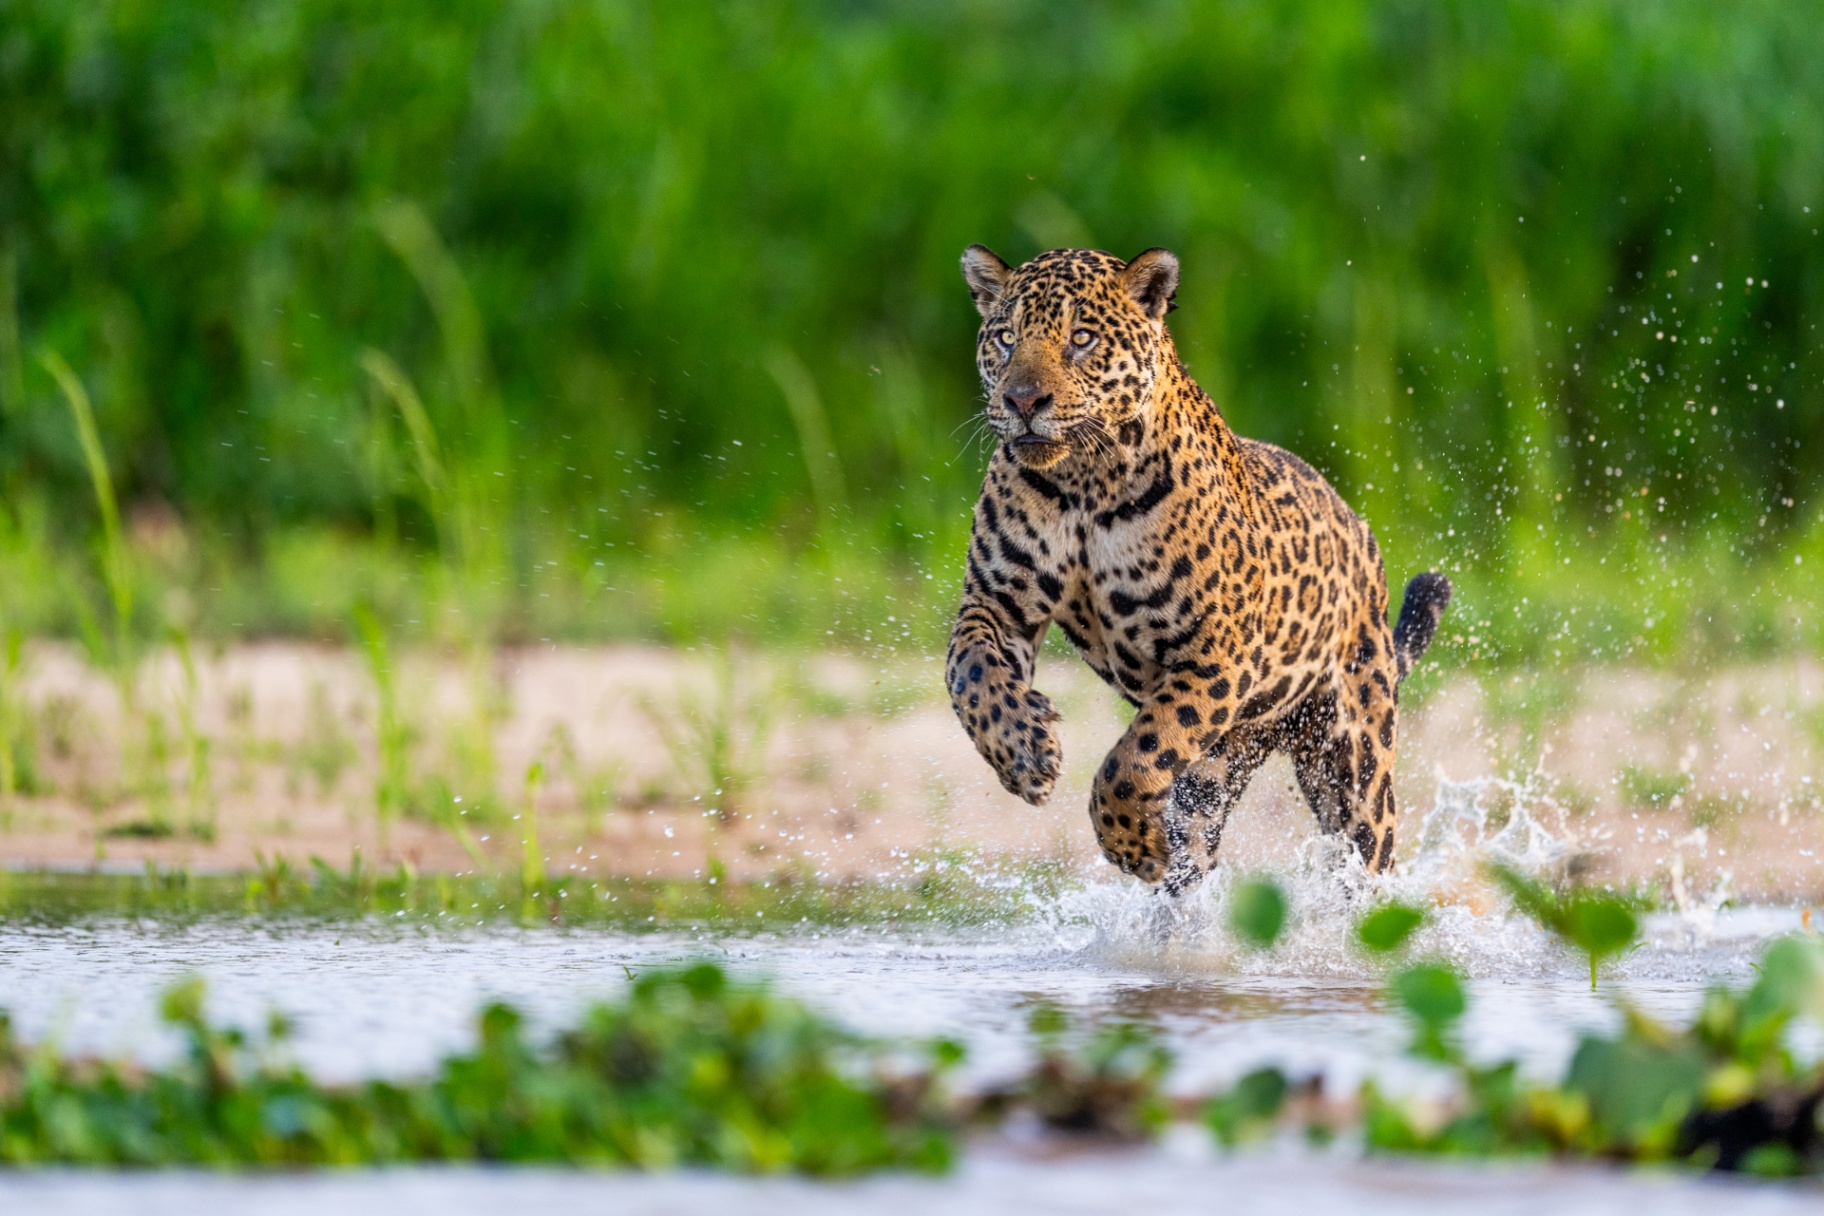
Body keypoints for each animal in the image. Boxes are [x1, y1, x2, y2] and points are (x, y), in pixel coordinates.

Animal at [944, 245, 1452, 894]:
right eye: (1006, 338)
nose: (1023, 401)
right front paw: (1026, 753)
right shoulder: (996, 603)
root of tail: (1360, 536)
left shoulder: (1214, 652)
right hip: (1217, 767)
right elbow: (970, 674)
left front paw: (1133, 847)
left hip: (1354, 760)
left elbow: (1133, 759)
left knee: (1366, 859)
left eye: (1081, 339)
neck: (1084, 484)